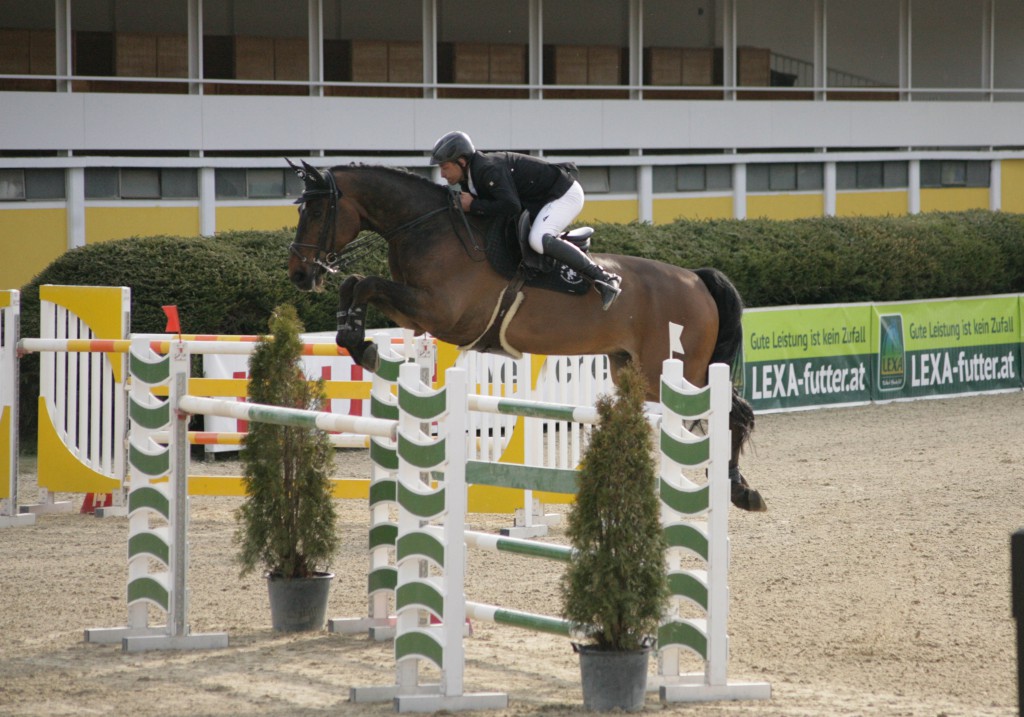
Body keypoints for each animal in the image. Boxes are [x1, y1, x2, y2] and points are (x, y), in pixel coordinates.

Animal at [284, 162, 765, 510]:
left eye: (317, 210)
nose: (299, 274)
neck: (427, 227)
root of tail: (697, 279)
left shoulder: (442, 313)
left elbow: (364, 282)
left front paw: (363, 345)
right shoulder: (419, 313)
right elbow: (355, 285)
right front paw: (355, 339)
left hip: (680, 371)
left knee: (732, 413)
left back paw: (738, 490)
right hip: (634, 370)